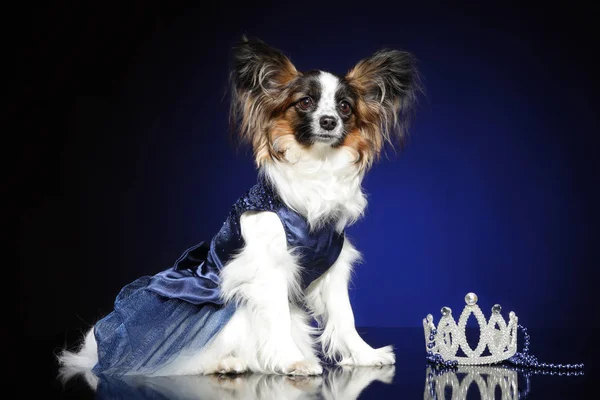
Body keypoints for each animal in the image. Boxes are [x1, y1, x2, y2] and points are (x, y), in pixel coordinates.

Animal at [58, 36, 420, 382]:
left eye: (345, 107)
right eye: (305, 103)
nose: (329, 122)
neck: (316, 168)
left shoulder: (332, 269)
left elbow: (345, 316)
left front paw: (365, 355)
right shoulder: (269, 270)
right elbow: (278, 318)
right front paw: (293, 361)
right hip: (226, 317)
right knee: (177, 359)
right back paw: (225, 364)